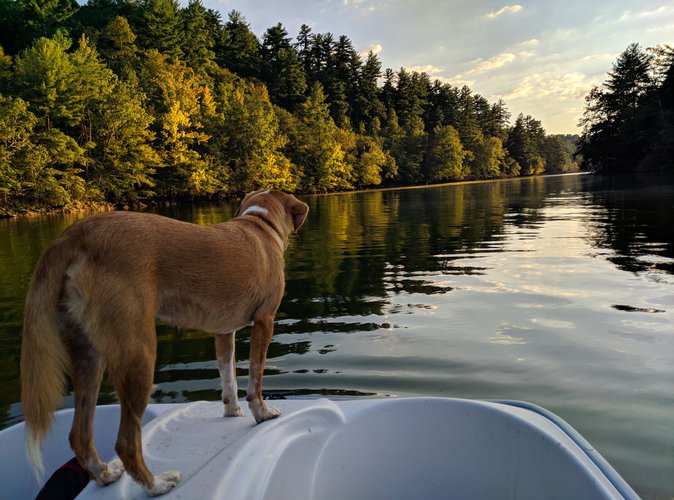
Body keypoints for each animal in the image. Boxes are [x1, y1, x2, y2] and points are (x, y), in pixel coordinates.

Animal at [18, 189, 308, 494]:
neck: (260, 224)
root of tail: (74, 235)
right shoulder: (265, 320)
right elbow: (255, 375)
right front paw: (262, 413)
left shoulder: (223, 331)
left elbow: (228, 378)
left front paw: (232, 411)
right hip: (139, 353)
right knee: (126, 442)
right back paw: (156, 484)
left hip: (87, 355)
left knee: (80, 436)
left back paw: (106, 474)